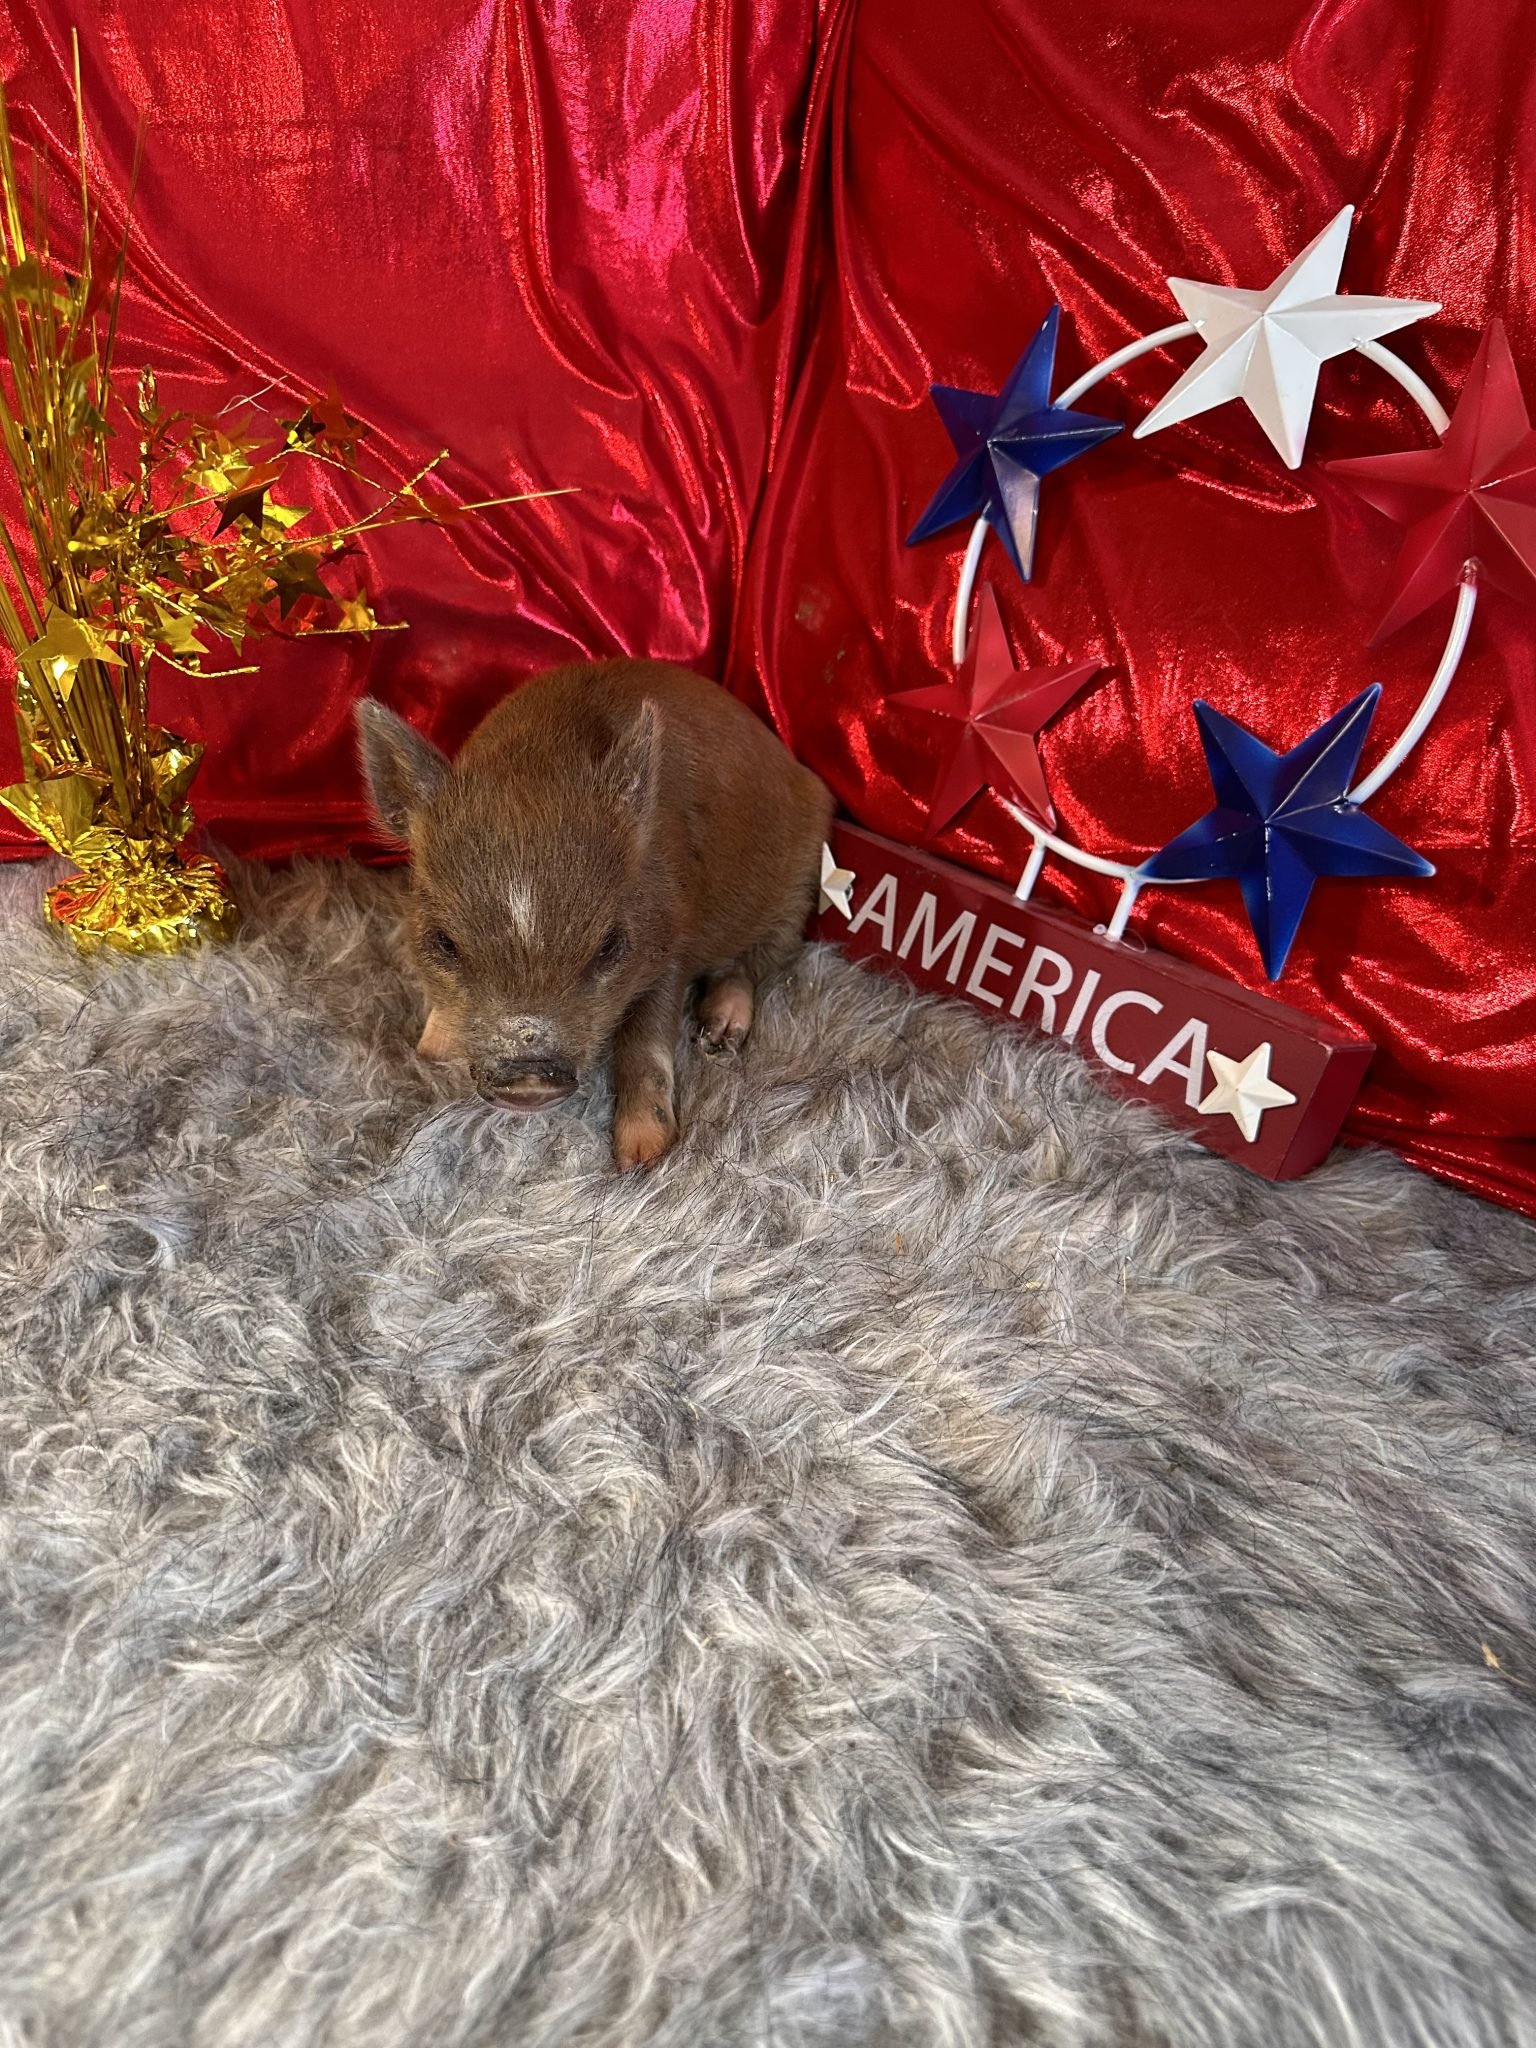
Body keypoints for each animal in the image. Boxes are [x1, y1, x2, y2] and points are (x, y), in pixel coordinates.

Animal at [356, 659, 833, 1171]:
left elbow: (646, 1043)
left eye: (608, 946)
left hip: (802, 879)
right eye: (443, 941)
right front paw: (429, 1049)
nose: (528, 1076)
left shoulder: (670, 943)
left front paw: (641, 1158)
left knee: (754, 963)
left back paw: (718, 1037)